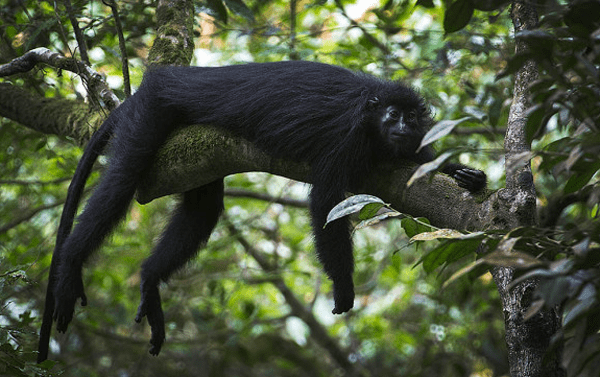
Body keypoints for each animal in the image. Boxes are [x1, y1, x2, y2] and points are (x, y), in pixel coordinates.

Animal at [37, 61, 486, 362]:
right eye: (394, 115)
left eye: (411, 117)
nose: (404, 126)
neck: (371, 118)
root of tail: (166, 77)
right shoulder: (345, 139)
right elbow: (326, 202)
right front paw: (343, 286)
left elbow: (422, 166)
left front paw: (464, 173)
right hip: (152, 111)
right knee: (122, 181)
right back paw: (71, 263)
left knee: (203, 208)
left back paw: (150, 279)